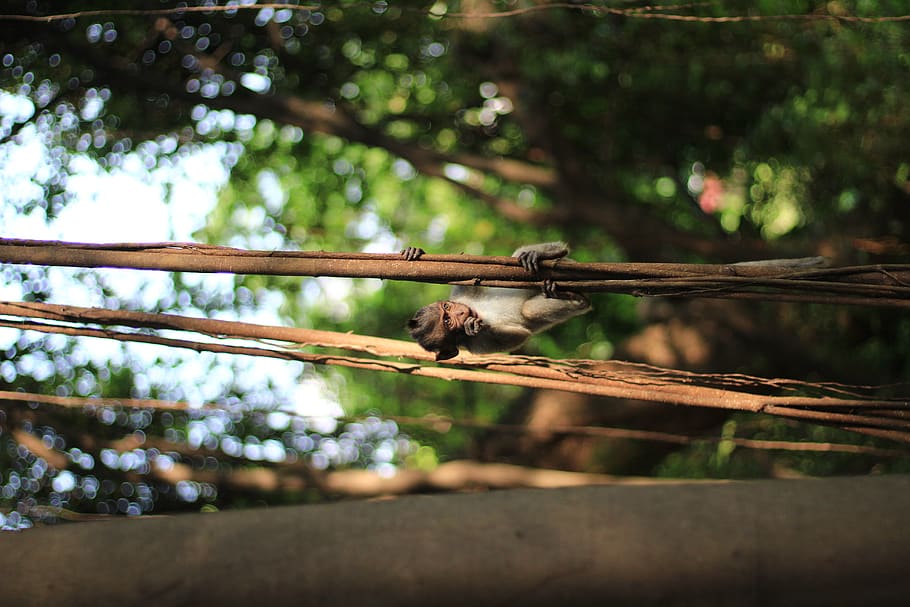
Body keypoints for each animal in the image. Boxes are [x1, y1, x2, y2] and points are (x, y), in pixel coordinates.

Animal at [402, 242, 592, 361]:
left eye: (447, 306)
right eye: (447, 321)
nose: (461, 312)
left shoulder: (460, 294)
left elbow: (464, 272)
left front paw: (415, 252)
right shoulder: (476, 345)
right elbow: (519, 335)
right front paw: (472, 324)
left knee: (519, 257)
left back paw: (546, 254)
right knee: (529, 311)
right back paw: (577, 299)